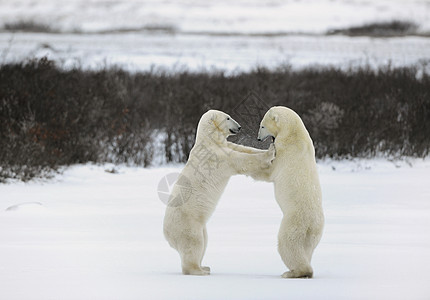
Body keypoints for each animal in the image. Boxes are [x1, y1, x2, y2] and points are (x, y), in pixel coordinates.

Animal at [163, 109, 274, 276]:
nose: (239, 127)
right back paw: (198, 270)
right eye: (228, 117)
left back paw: (204, 266)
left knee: (204, 242)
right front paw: (270, 153)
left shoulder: (224, 145)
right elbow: (241, 160)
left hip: (200, 225)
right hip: (187, 224)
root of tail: (167, 235)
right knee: (194, 244)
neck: (209, 140)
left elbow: (243, 148)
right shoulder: (216, 157)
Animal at [255, 106, 322, 278]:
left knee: (288, 244)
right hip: (314, 234)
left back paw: (293, 272)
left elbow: (269, 172)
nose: (258, 139)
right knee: (307, 250)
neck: (295, 134)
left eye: (262, 126)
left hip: (294, 223)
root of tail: (313, 224)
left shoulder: (285, 151)